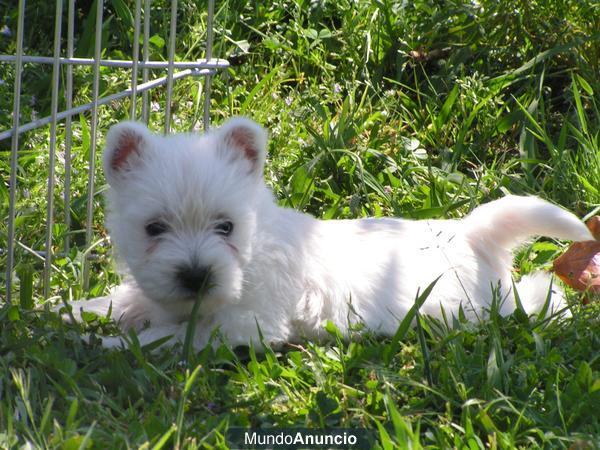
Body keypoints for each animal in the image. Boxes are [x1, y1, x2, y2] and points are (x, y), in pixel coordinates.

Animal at [64, 118, 592, 350]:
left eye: (226, 226)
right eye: (154, 228)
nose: (196, 276)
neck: (251, 250)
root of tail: (469, 232)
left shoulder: (246, 324)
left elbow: (176, 335)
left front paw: (116, 345)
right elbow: (128, 298)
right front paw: (72, 311)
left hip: (482, 306)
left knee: (536, 294)